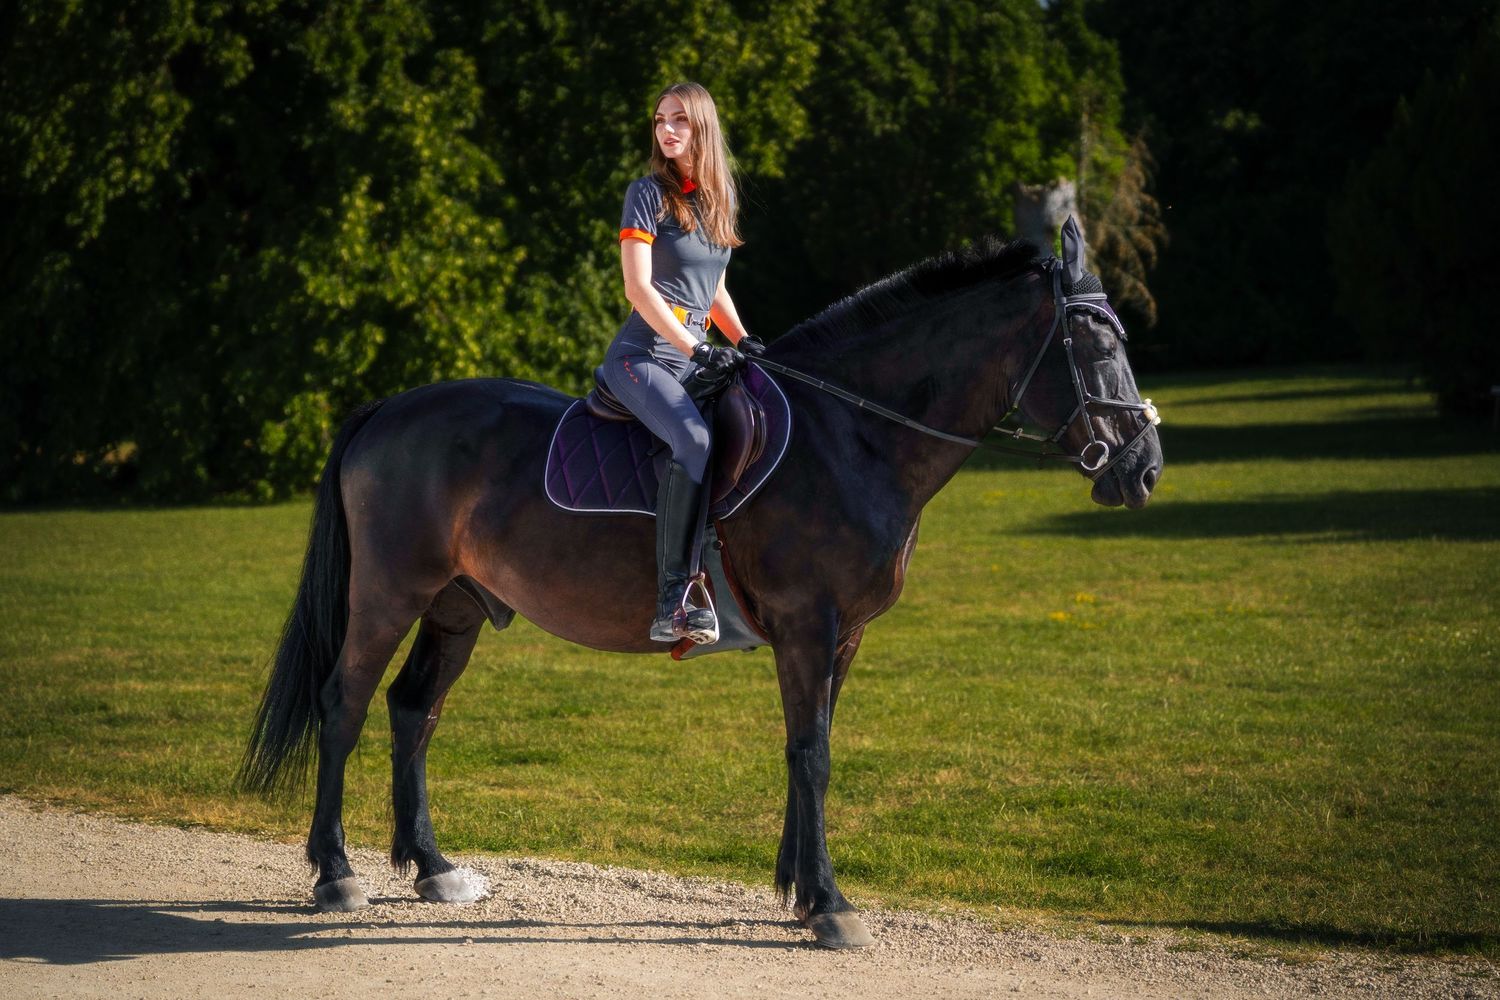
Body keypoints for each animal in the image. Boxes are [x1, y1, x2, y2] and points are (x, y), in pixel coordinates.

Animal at [238, 220, 1163, 949]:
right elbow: (813, 753)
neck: (852, 433)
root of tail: (388, 409)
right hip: (388, 596)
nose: (1145, 468)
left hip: (456, 608)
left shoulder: (844, 634)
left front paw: (797, 889)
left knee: (413, 710)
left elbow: (807, 746)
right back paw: (335, 872)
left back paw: (433, 867)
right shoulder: (808, 623)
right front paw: (829, 904)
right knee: (344, 704)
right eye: (1097, 345)